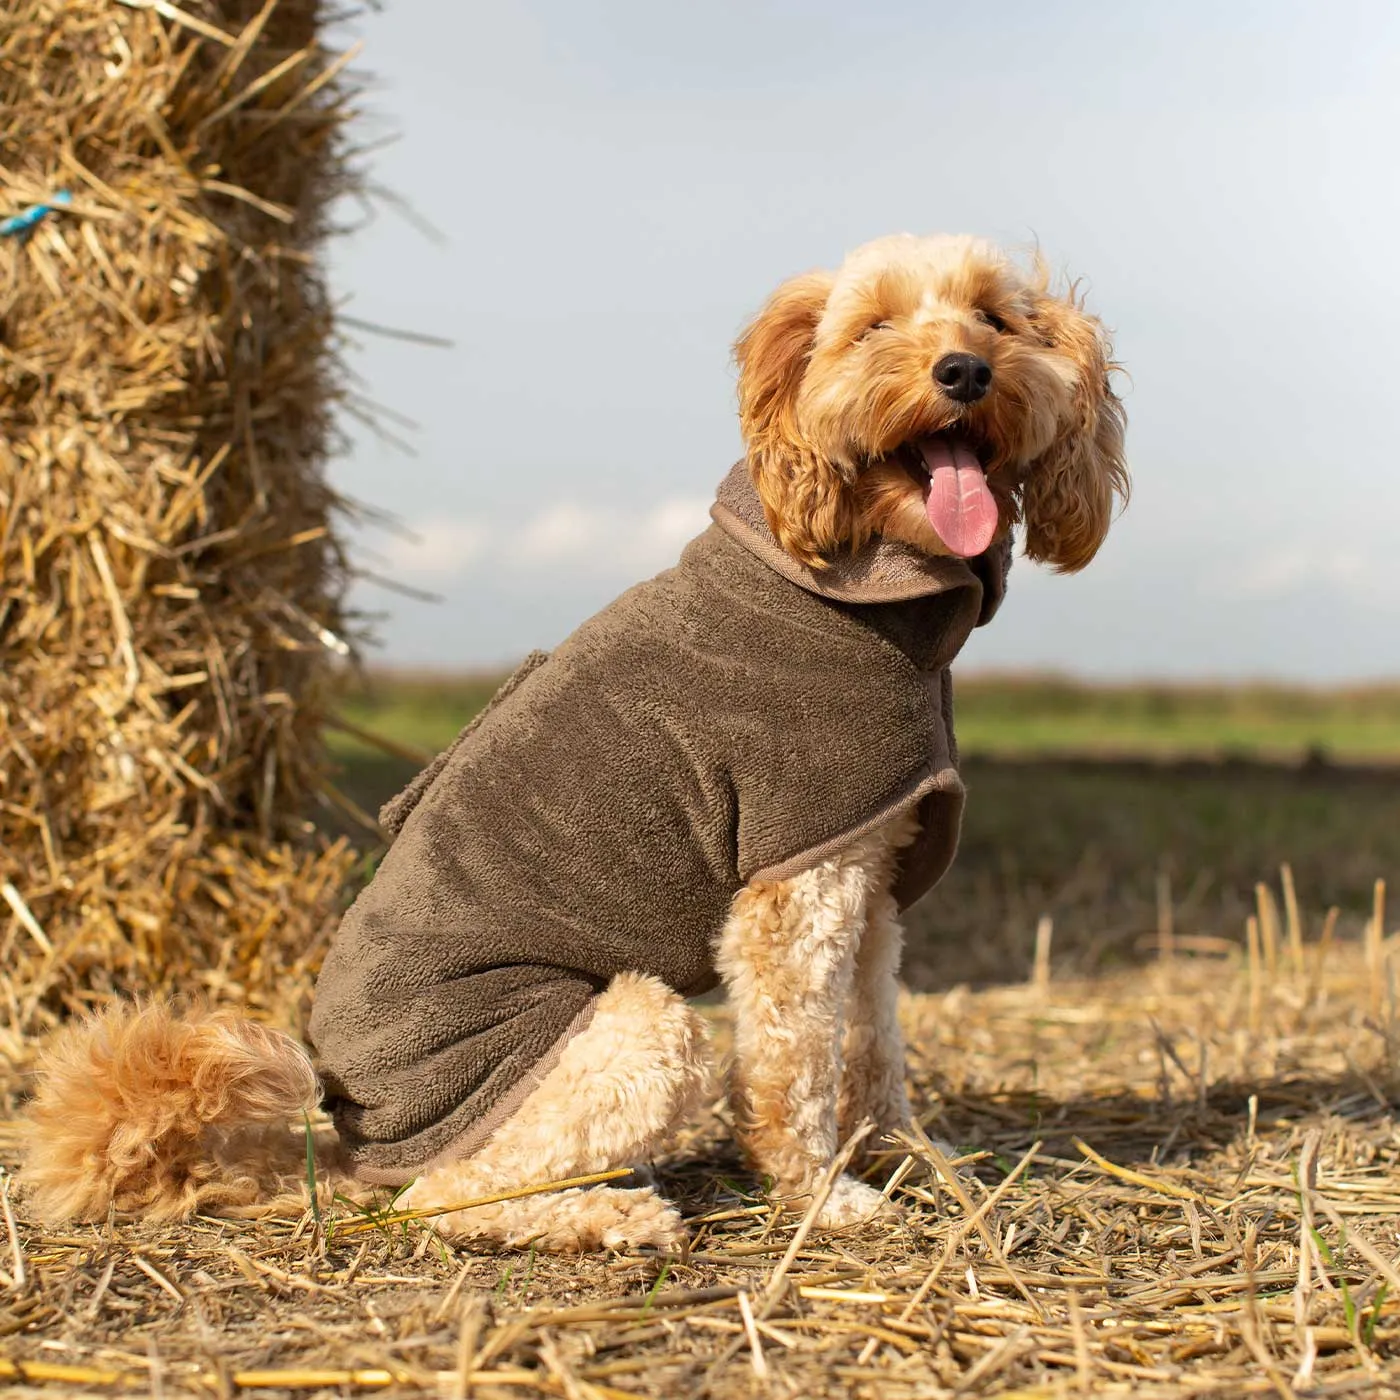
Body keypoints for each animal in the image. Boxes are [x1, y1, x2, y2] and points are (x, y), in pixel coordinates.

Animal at [16, 235, 1125, 1254]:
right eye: (872, 328)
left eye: (995, 319)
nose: (964, 371)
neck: (849, 576)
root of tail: (350, 1133)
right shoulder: (794, 885)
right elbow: (794, 1061)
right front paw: (820, 1195)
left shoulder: (872, 869)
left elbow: (875, 1042)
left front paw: (914, 1159)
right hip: (622, 1031)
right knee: (445, 1195)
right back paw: (613, 1214)